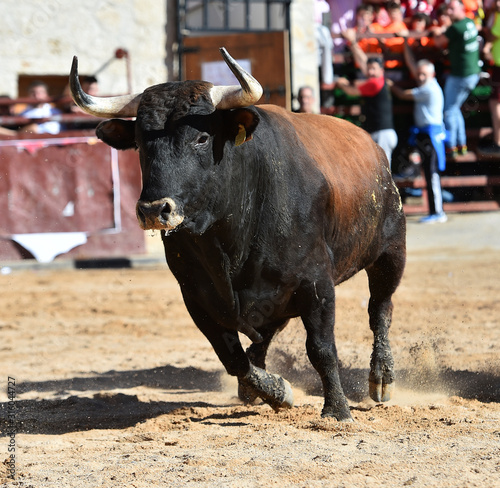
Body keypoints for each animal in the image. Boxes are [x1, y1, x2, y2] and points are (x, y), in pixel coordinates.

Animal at [71, 50, 406, 424]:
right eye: (141, 143)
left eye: (201, 138)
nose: (154, 209)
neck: (229, 237)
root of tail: (375, 149)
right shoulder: (196, 295)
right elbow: (232, 357)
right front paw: (276, 390)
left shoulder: (316, 283)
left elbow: (321, 348)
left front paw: (336, 410)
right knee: (266, 332)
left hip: (391, 252)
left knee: (380, 308)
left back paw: (381, 378)